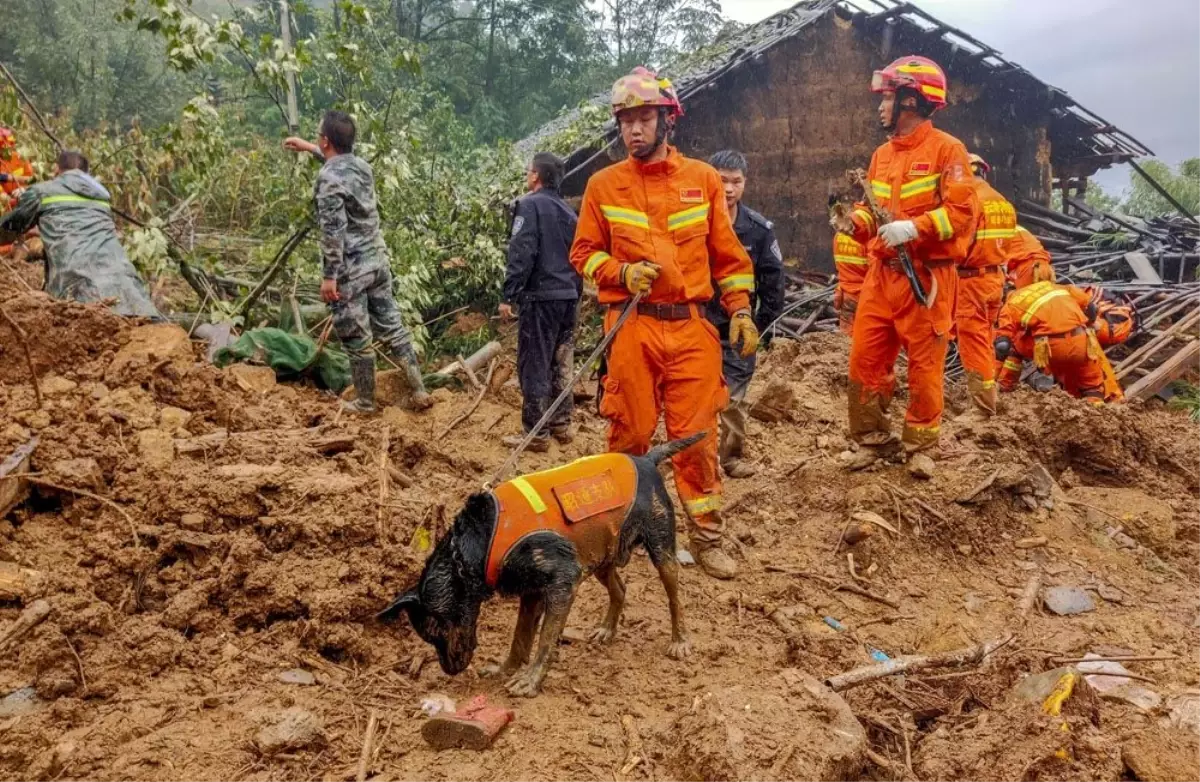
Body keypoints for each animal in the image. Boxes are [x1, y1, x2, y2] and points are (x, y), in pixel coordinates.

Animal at [379, 434, 705, 695]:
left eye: (434, 634)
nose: (449, 670)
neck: (476, 545)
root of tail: (647, 460)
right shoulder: (531, 592)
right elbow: (520, 637)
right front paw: (506, 669)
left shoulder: (562, 583)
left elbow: (545, 641)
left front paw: (531, 680)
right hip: (601, 551)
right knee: (620, 589)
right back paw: (607, 629)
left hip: (660, 545)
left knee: (674, 596)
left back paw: (680, 640)